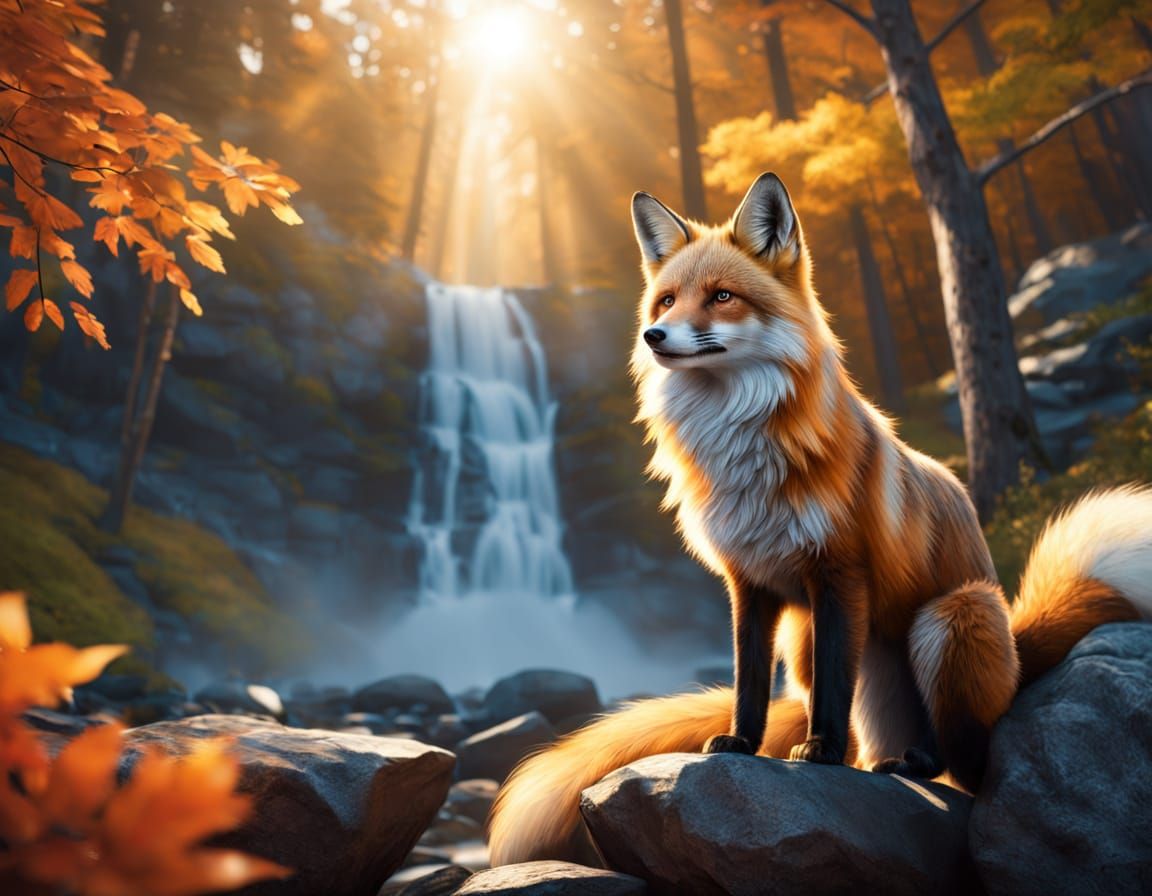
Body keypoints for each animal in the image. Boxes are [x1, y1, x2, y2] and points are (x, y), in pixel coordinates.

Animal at [487, 172, 1152, 866]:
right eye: (666, 301)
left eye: (721, 297)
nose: (655, 336)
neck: (746, 460)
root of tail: (1019, 656)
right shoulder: (748, 584)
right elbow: (748, 683)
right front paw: (742, 744)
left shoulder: (840, 573)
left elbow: (834, 686)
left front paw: (822, 753)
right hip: (808, 645)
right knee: (883, 741)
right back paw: (890, 761)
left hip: (947, 618)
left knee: (971, 763)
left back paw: (919, 761)